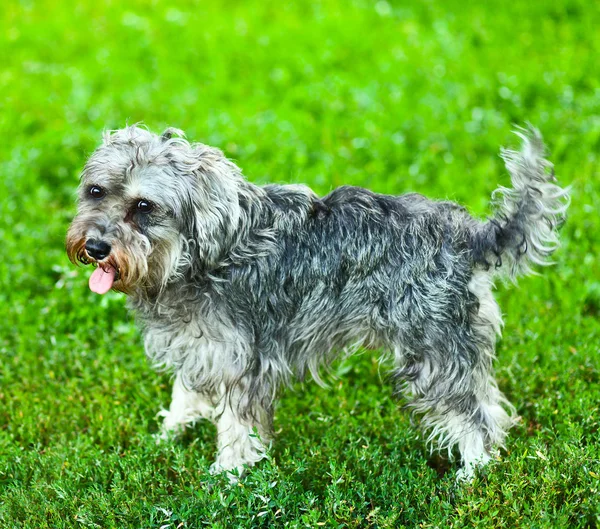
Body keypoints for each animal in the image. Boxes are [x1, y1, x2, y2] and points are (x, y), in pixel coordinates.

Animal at [68, 124, 568, 478]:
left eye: (144, 206)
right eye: (96, 192)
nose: (94, 247)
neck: (194, 256)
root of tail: (469, 236)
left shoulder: (242, 364)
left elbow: (237, 427)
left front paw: (227, 476)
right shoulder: (200, 350)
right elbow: (184, 395)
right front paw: (167, 435)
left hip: (435, 357)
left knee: (477, 415)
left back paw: (473, 473)